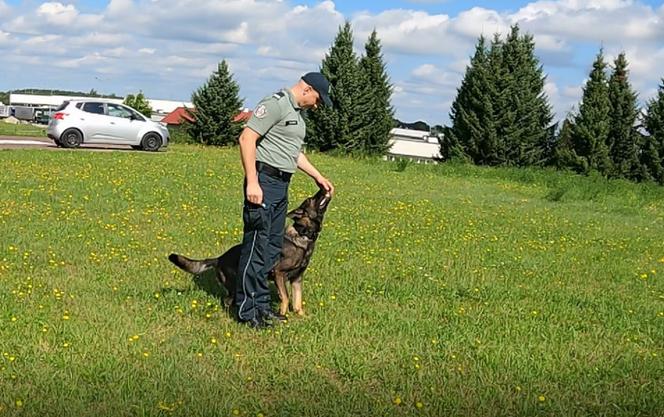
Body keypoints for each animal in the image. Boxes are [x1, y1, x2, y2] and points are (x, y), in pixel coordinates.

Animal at [167, 188, 330, 316]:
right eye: (311, 199)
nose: (324, 188)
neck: (303, 234)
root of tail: (219, 258)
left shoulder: (297, 279)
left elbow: (297, 301)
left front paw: (301, 316)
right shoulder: (279, 273)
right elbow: (285, 297)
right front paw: (283, 315)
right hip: (235, 285)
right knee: (227, 301)